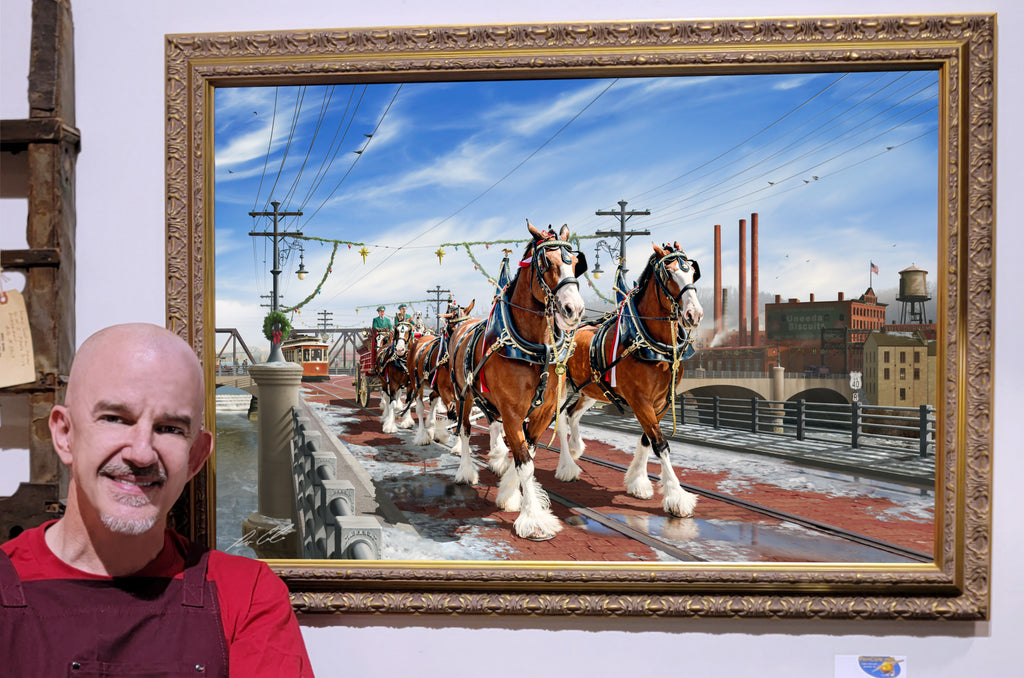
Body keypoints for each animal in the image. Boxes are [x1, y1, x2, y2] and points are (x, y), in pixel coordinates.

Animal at [448, 223, 585, 540]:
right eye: (545, 263)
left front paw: (509, 494)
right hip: (464, 395)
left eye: (575, 262)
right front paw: (533, 519)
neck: (532, 348)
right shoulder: (511, 411)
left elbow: (526, 454)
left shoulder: (543, 411)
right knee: (465, 430)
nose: (574, 309)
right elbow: (525, 463)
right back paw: (465, 471)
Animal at [552, 241, 704, 518]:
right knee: (559, 420)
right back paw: (567, 467)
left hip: (591, 388)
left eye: (692, 273)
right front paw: (677, 497)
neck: (651, 345)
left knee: (571, 414)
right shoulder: (640, 400)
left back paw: (577, 447)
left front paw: (637, 482)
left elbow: (647, 439)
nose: (694, 314)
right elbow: (660, 443)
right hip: (560, 386)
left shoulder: (661, 402)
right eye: (669, 274)